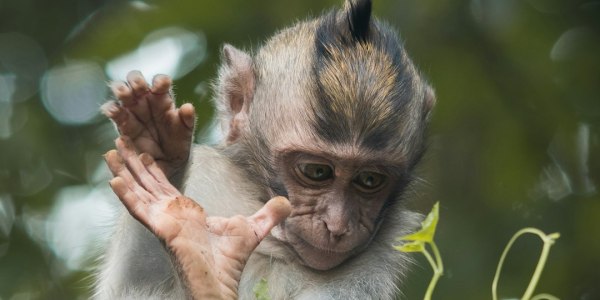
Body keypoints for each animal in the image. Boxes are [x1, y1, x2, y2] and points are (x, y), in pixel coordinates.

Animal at [98, 0, 436, 298]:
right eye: (317, 172)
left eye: (369, 180)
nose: (337, 225)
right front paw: (158, 153)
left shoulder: (380, 255)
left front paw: (204, 271)